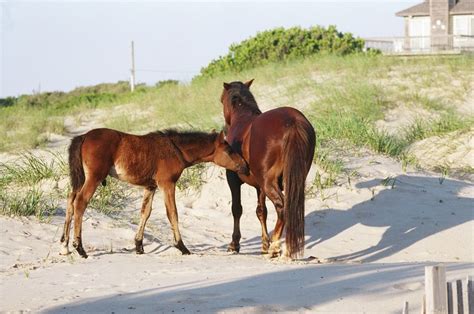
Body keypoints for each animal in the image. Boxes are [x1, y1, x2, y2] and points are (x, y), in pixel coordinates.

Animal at [59, 127, 248, 258]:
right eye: (229, 150)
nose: (245, 165)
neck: (175, 149)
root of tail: (84, 136)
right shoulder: (167, 184)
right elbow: (172, 213)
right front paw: (182, 246)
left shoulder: (151, 187)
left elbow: (145, 212)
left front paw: (139, 246)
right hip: (94, 178)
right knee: (80, 202)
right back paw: (79, 248)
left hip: (81, 179)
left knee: (70, 201)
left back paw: (64, 246)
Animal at [220, 79, 316, 258]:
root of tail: (292, 121)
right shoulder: (259, 186)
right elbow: (261, 211)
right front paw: (264, 244)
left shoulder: (233, 179)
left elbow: (237, 209)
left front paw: (234, 244)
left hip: (269, 183)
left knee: (282, 207)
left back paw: (275, 245)